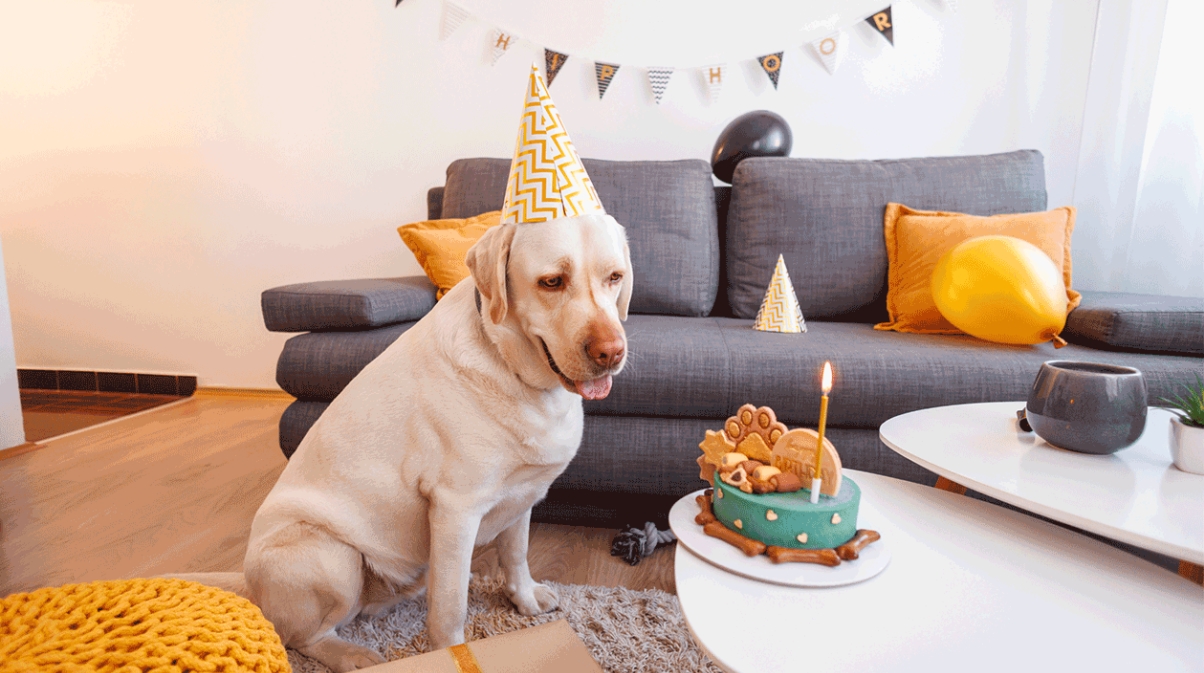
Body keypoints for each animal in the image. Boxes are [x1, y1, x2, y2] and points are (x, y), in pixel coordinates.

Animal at [174, 212, 631, 671]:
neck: (514, 370)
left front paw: (525, 599)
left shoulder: (524, 492)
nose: (611, 352)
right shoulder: (455, 508)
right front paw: (450, 650)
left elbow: (515, 552)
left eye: (614, 277)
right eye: (551, 281)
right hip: (331, 556)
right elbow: (450, 605)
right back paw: (353, 654)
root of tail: (248, 582)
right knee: (300, 635)